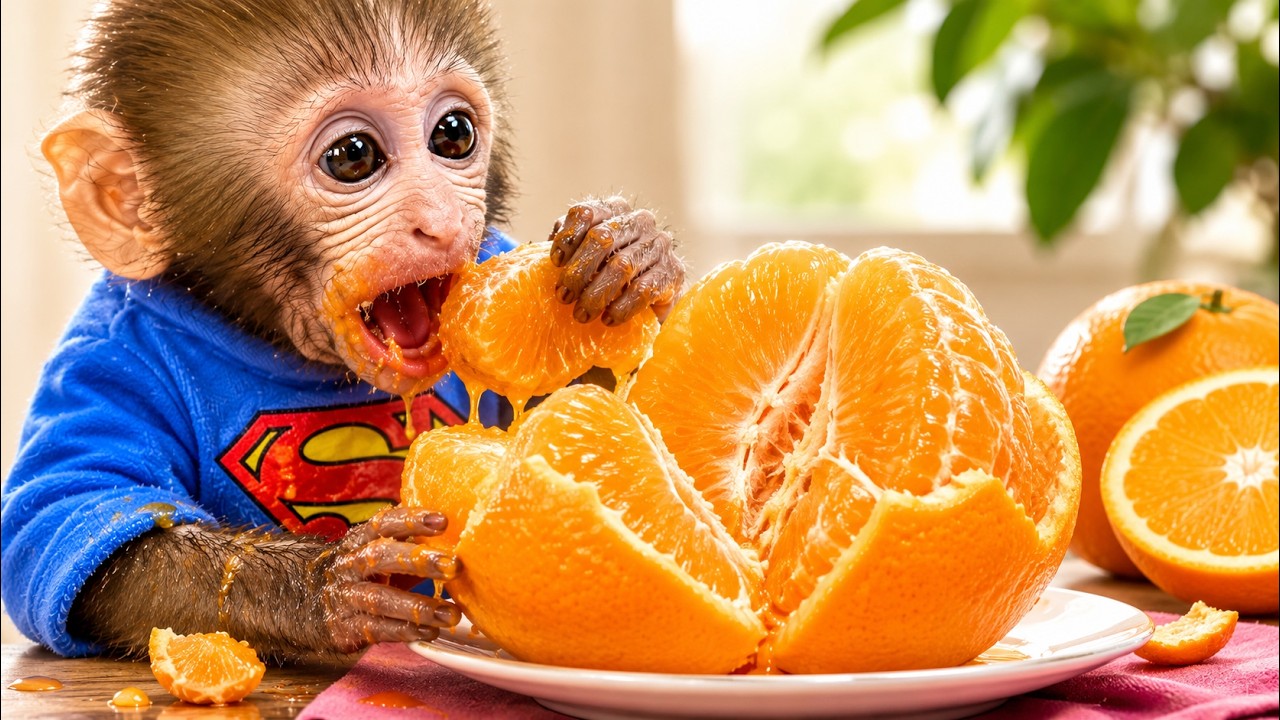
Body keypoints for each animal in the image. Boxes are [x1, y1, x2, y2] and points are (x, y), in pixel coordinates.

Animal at [0, 0, 684, 662]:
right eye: (353, 155)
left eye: (453, 134)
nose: (440, 220)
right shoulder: (106, 354)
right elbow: (65, 516)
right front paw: (330, 583)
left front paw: (627, 250)